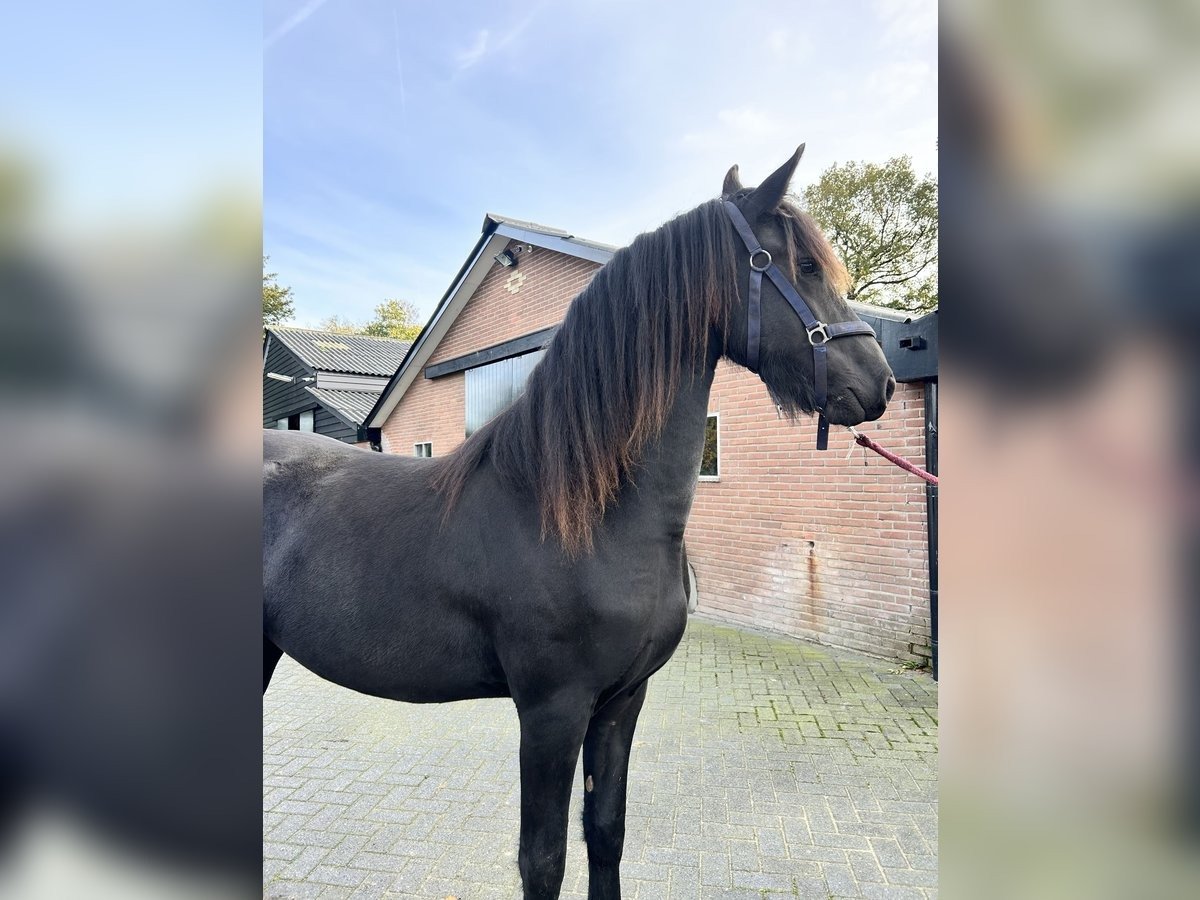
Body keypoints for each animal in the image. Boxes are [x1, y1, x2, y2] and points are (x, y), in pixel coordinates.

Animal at [263, 145, 895, 900]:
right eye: (801, 266)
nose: (881, 384)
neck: (580, 514)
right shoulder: (551, 711)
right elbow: (543, 858)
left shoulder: (622, 703)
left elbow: (606, 833)